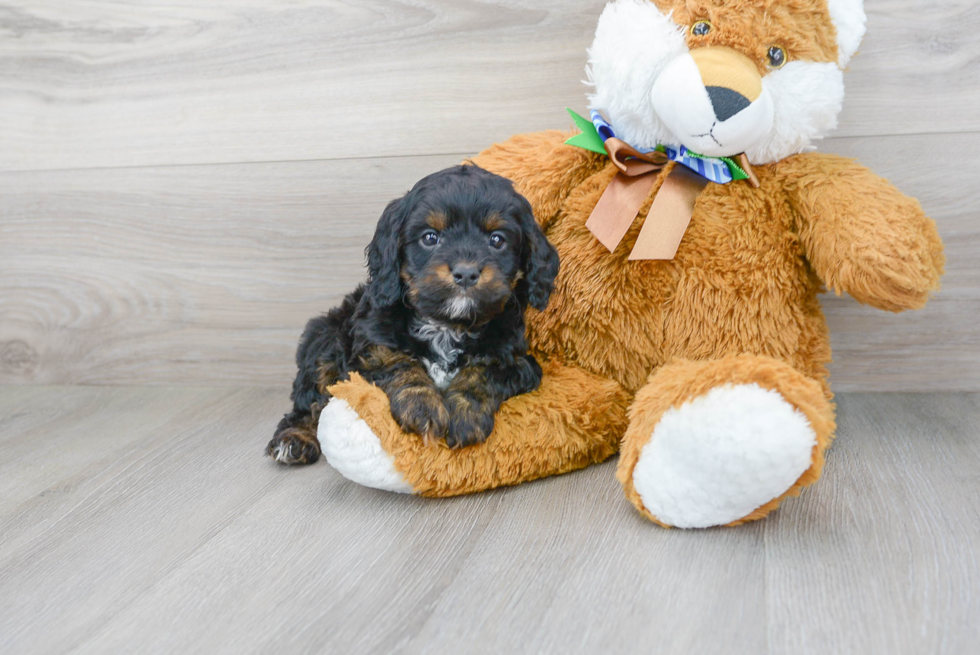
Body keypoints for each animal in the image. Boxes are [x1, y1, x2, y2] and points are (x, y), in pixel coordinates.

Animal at [266, 164, 560, 464]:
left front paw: (465, 414)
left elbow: (484, 371)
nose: (466, 273)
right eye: (430, 237)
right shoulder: (369, 348)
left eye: (497, 240)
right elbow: (398, 363)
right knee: (309, 401)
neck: (447, 325)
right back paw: (294, 439)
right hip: (324, 337)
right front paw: (422, 407)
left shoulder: (517, 360)